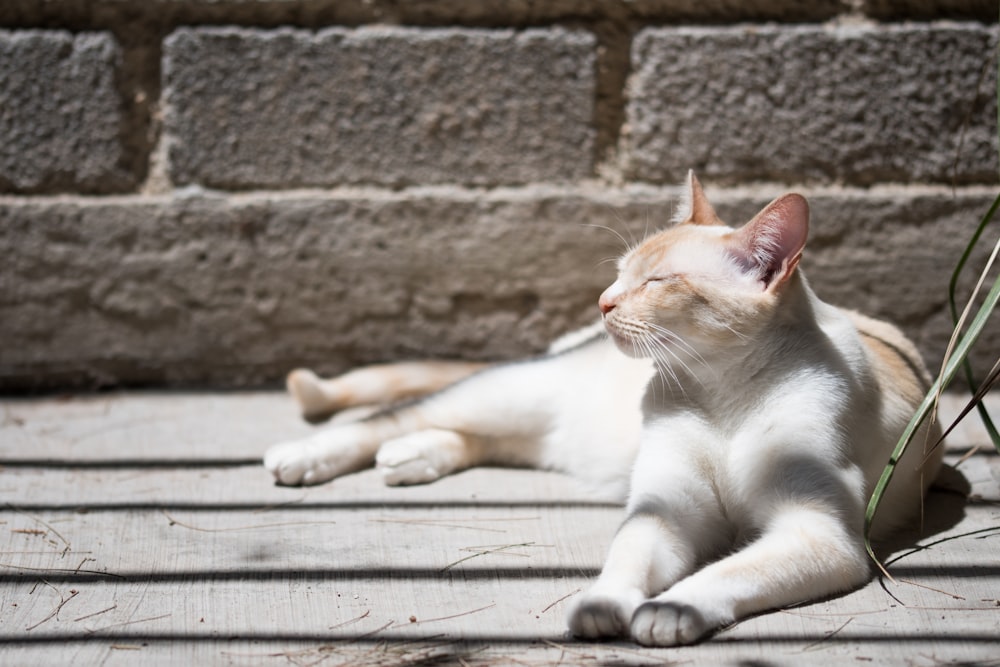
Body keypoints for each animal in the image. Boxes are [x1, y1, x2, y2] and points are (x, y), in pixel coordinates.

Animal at [262, 174, 940, 648]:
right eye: (620, 274)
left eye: (658, 282)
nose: (603, 301)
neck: (721, 392)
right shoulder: (666, 509)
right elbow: (628, 558)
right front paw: (604, 606)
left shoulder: (815, 532)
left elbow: (724, 573)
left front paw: (669, 611)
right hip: (510, 394)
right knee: (394, 416)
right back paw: (308, 455)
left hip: (539, 431)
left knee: (468, 437)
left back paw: (411, 458)